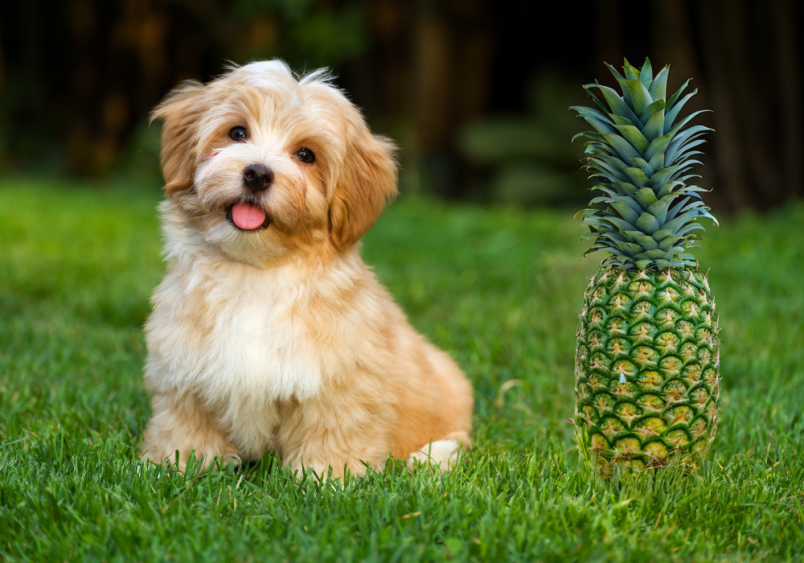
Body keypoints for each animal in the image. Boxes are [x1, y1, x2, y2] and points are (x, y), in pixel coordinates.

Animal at [142, 60, 474, 476]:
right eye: (237, 132)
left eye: (305, 154)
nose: (257, 173)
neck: (255, 271)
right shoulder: (184, 369)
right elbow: (185, 421)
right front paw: (179, 463)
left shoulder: (339, 381)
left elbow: (333, 428)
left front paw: (326, 476)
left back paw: (433, 455)